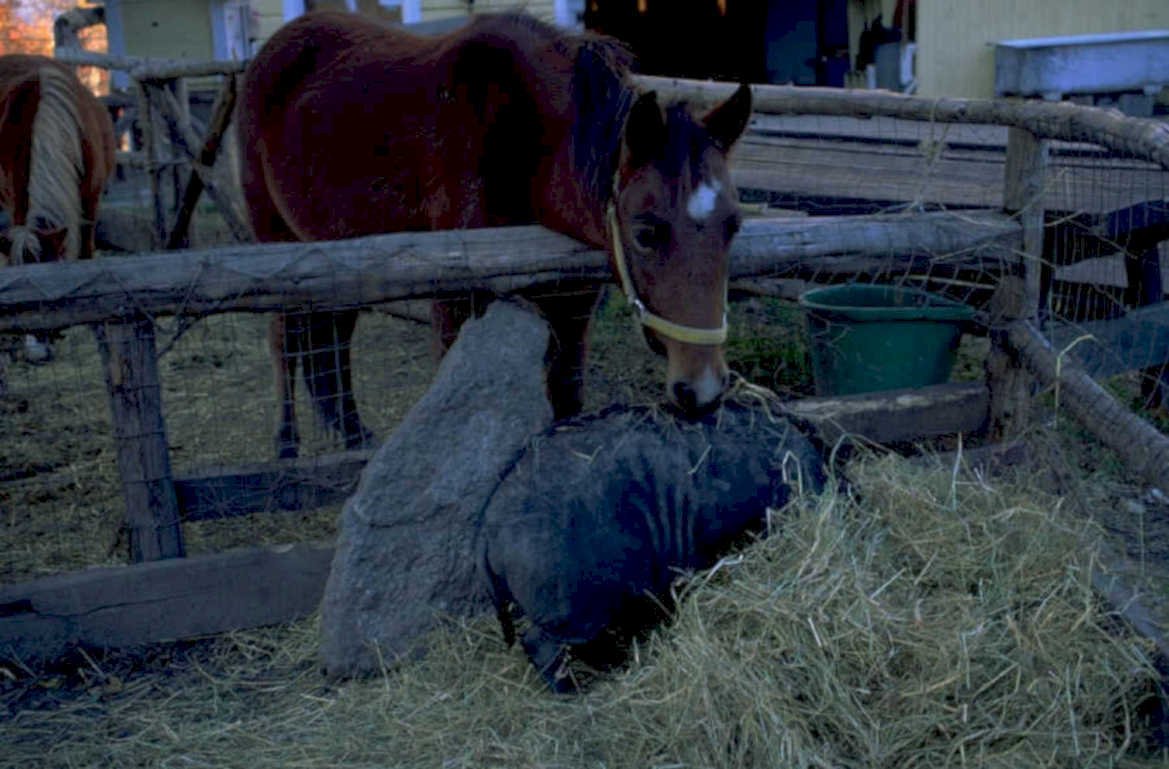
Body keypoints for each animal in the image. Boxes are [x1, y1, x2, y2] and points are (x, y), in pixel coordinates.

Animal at [238, 11, 752, 459]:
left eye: (734, 225)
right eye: (645, 232)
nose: (703, 389)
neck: (522, 143)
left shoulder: (572, 305)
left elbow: (565, 402)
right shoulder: (455, 302)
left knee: (334, 338)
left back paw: (353, 433)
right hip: (279, 244)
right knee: (282, 339)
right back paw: (287, 444)